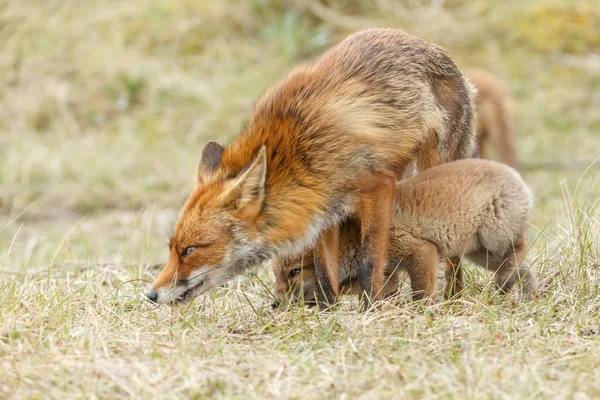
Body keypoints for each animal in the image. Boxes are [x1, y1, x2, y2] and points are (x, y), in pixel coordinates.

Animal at [148, 28, 476, 306]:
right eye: (172, 247)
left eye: (190, 250)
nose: (150, 295)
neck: (297, 155)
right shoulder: (324, 213)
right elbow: (323, 268)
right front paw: (327, 311)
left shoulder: (377, 188)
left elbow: (370, 260)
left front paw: (369, 310)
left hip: (435, 166)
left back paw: (452, 298)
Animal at [270, 159, 536, 306]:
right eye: (277, 276)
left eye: (294, 272)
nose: (274, 303)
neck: (356, 235)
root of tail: (514, 173)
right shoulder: (388, 274)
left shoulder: (419, 251)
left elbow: (421, 294)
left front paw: (423, 314)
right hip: (481, 254)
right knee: (523, 268)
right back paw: (529, 295)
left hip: (494, 238)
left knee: (522, 246)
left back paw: (506, 284)